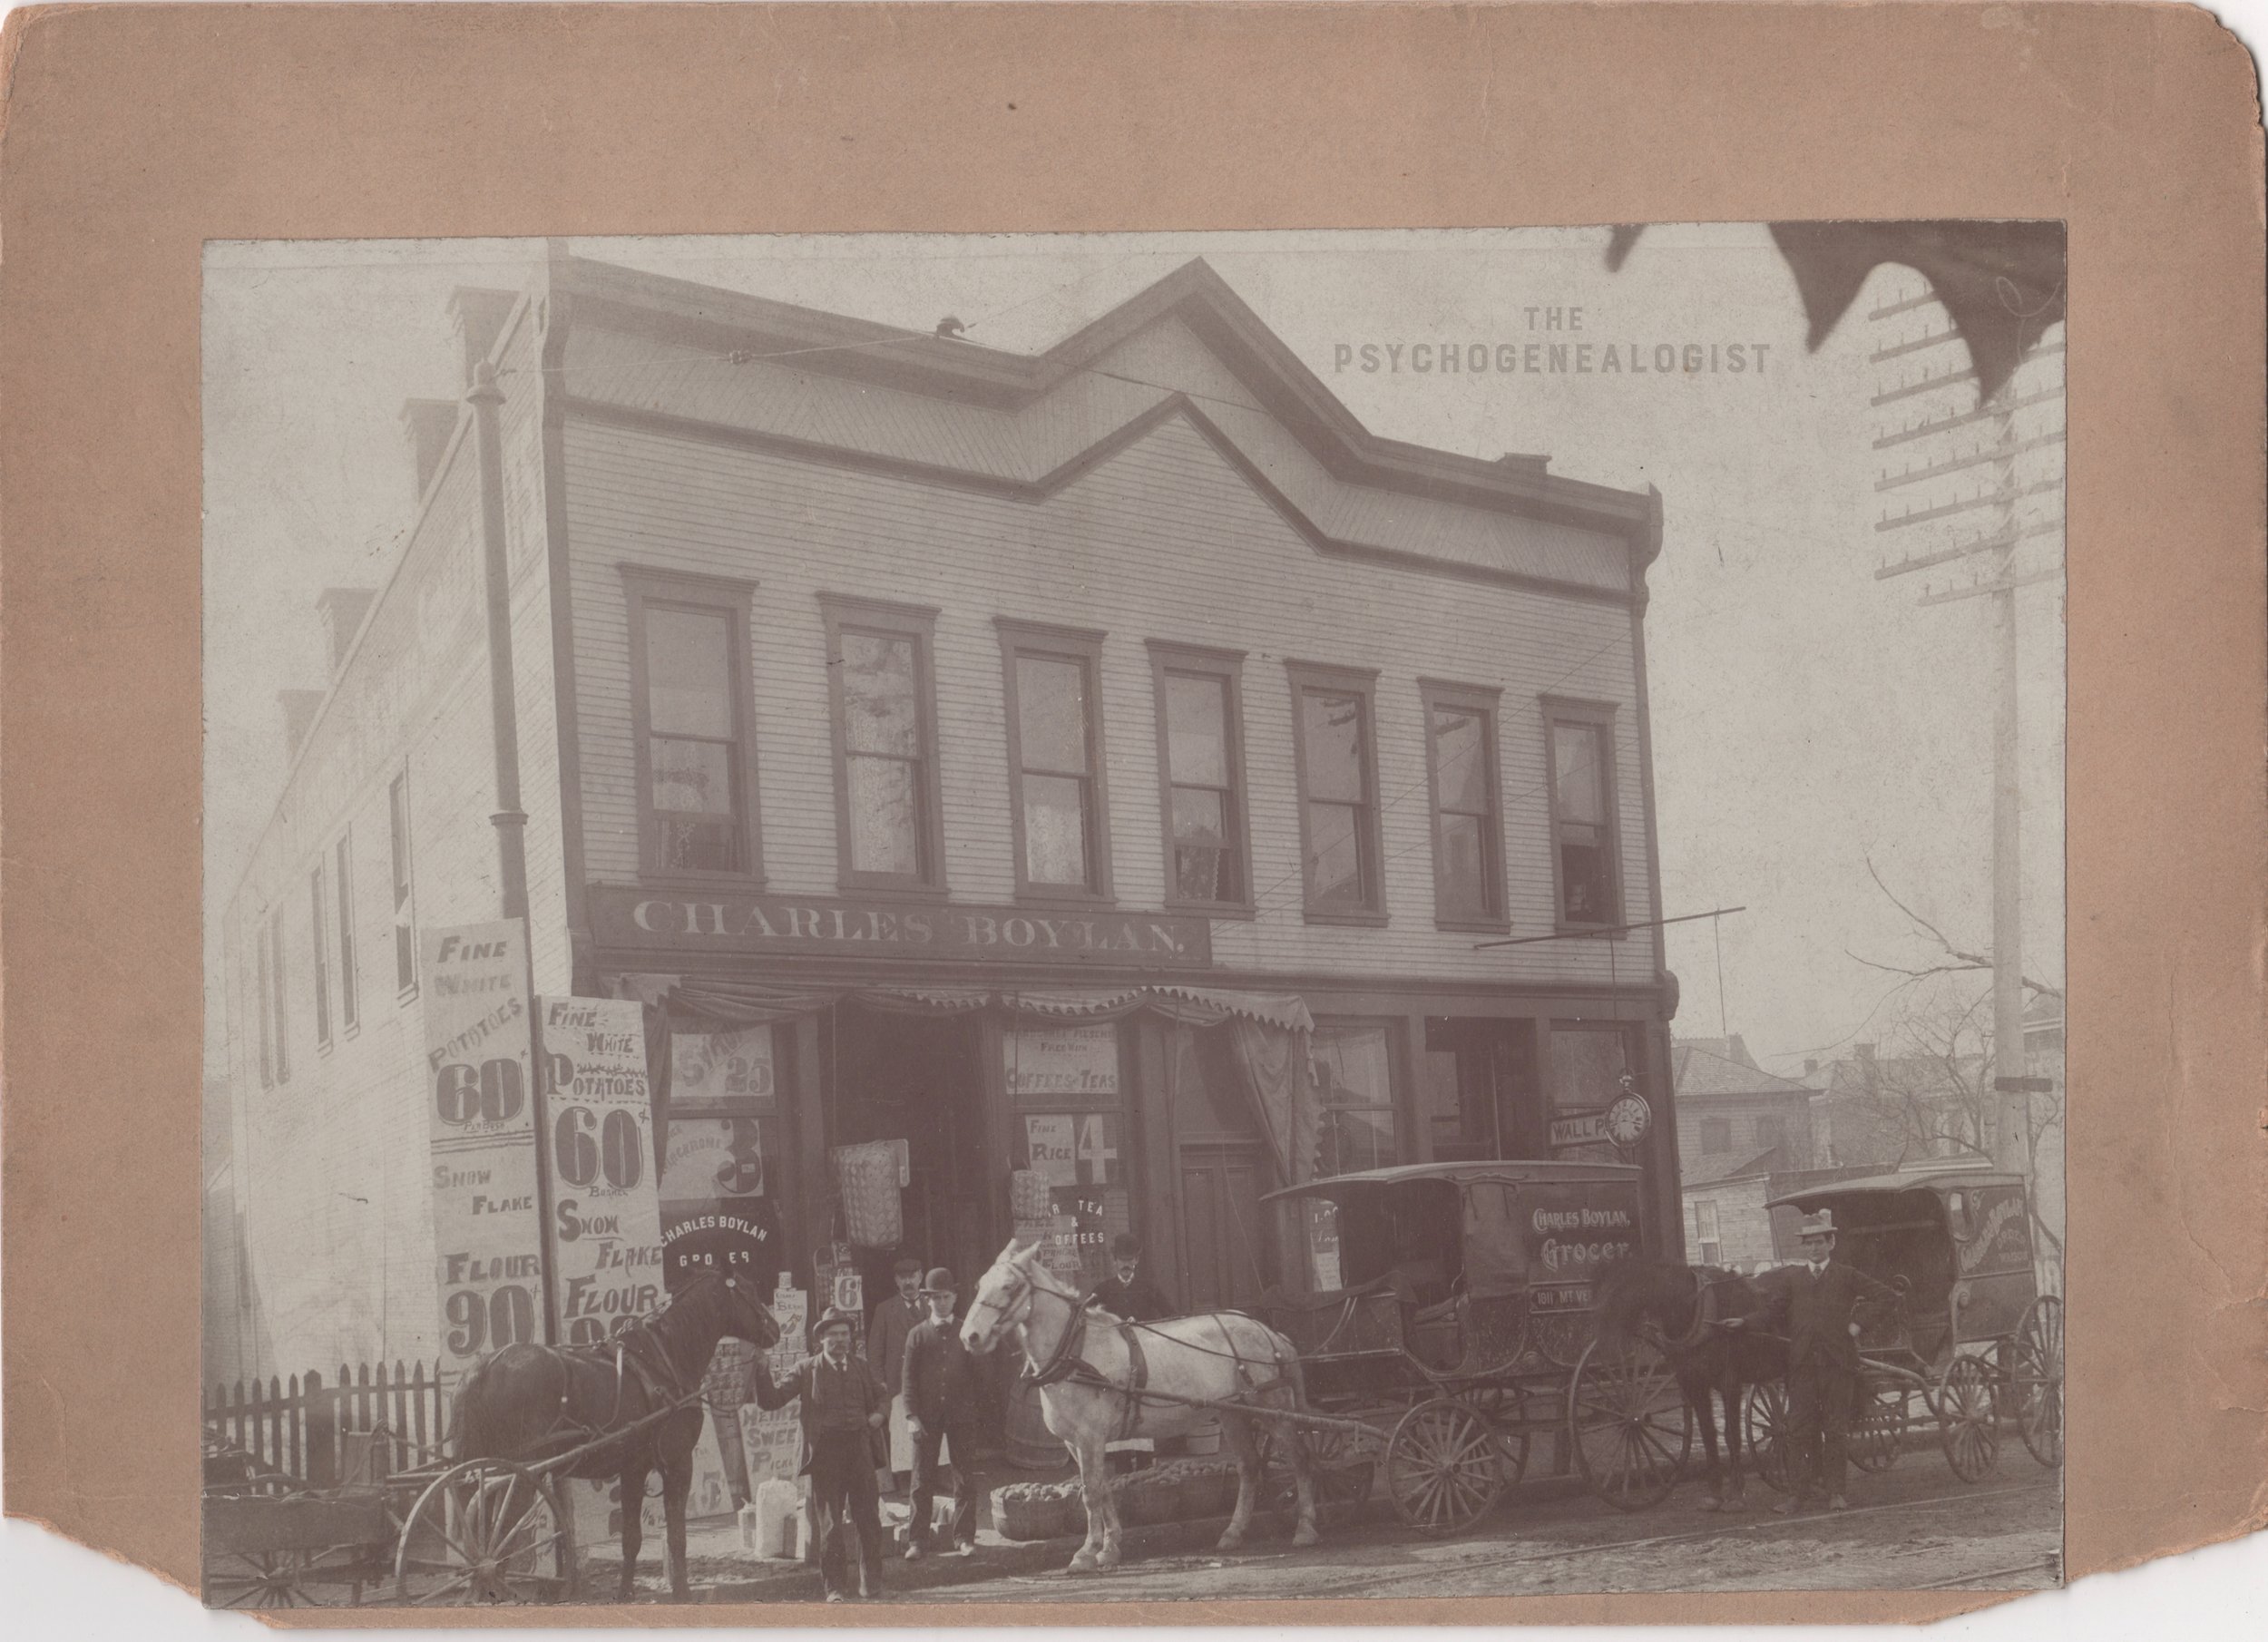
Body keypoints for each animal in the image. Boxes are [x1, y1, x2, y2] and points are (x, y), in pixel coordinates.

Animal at [451, 1270, 789, 1606]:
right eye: (748, 1290)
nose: (775, 1329)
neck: (664, 1358)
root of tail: (485, 1367)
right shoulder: (678, 1464)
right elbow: (677, 1537)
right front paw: (682, 1592)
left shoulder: (633, 1470)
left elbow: (632, 1538)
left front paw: (625, 1592)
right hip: (518, 1478)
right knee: (499, 1541)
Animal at [957, 1234, 1315, 1569]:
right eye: (979, 1284)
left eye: (1009, 1285)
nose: (969, 1336)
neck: (1077, 1351)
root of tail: (1270, 1333)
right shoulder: (1078, 1442)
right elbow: (1102, 1489)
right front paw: (1110, 1548)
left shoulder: (1090, 1437)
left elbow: (1091, 1493)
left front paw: (1086, 1552)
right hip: (1233, 1415)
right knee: (1250, 1466)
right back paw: (1233, 1532)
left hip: (1274, 1410)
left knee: (1299, 1459)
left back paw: (1305, 1528)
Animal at [1597, 1261, 1787, 1515]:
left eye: (1621, 1287)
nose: (1602, 1344)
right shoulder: (1694, 1384)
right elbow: (1708, 1434)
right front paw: (1715, 1494)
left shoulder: (1730, 1383)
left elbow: (1732, 1436)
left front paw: (1736, 1494)